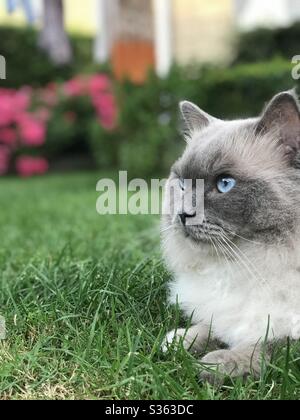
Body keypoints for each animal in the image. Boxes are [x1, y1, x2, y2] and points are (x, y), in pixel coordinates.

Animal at [162, 91, 300, 384]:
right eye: (182, 184)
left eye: (225, 183)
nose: (183, 215)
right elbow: (210, 325)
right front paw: (179, 341)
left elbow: (271, 343)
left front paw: (217, 365)